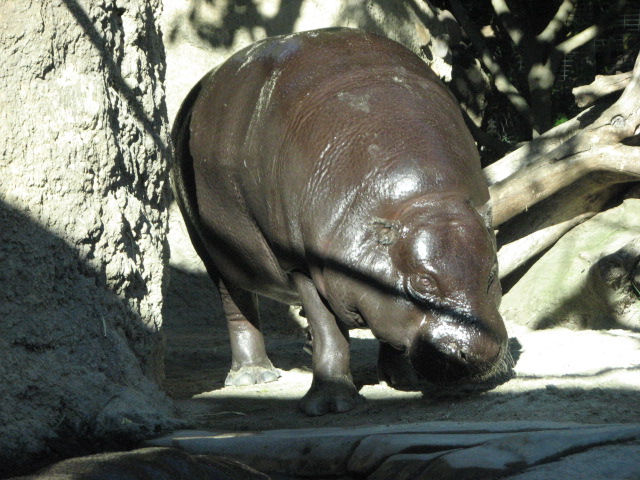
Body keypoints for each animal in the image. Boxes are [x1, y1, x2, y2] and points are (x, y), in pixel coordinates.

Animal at [171, 27, 509, 416]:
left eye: (492, 271)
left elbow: (389, 322)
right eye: (422, 282)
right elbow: (328, 330)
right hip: (214, 252)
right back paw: (253, 376)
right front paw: (331, 404)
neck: (425, 201)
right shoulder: (302, 264)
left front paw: (404, 381)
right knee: (236, 304)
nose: (480, 351)